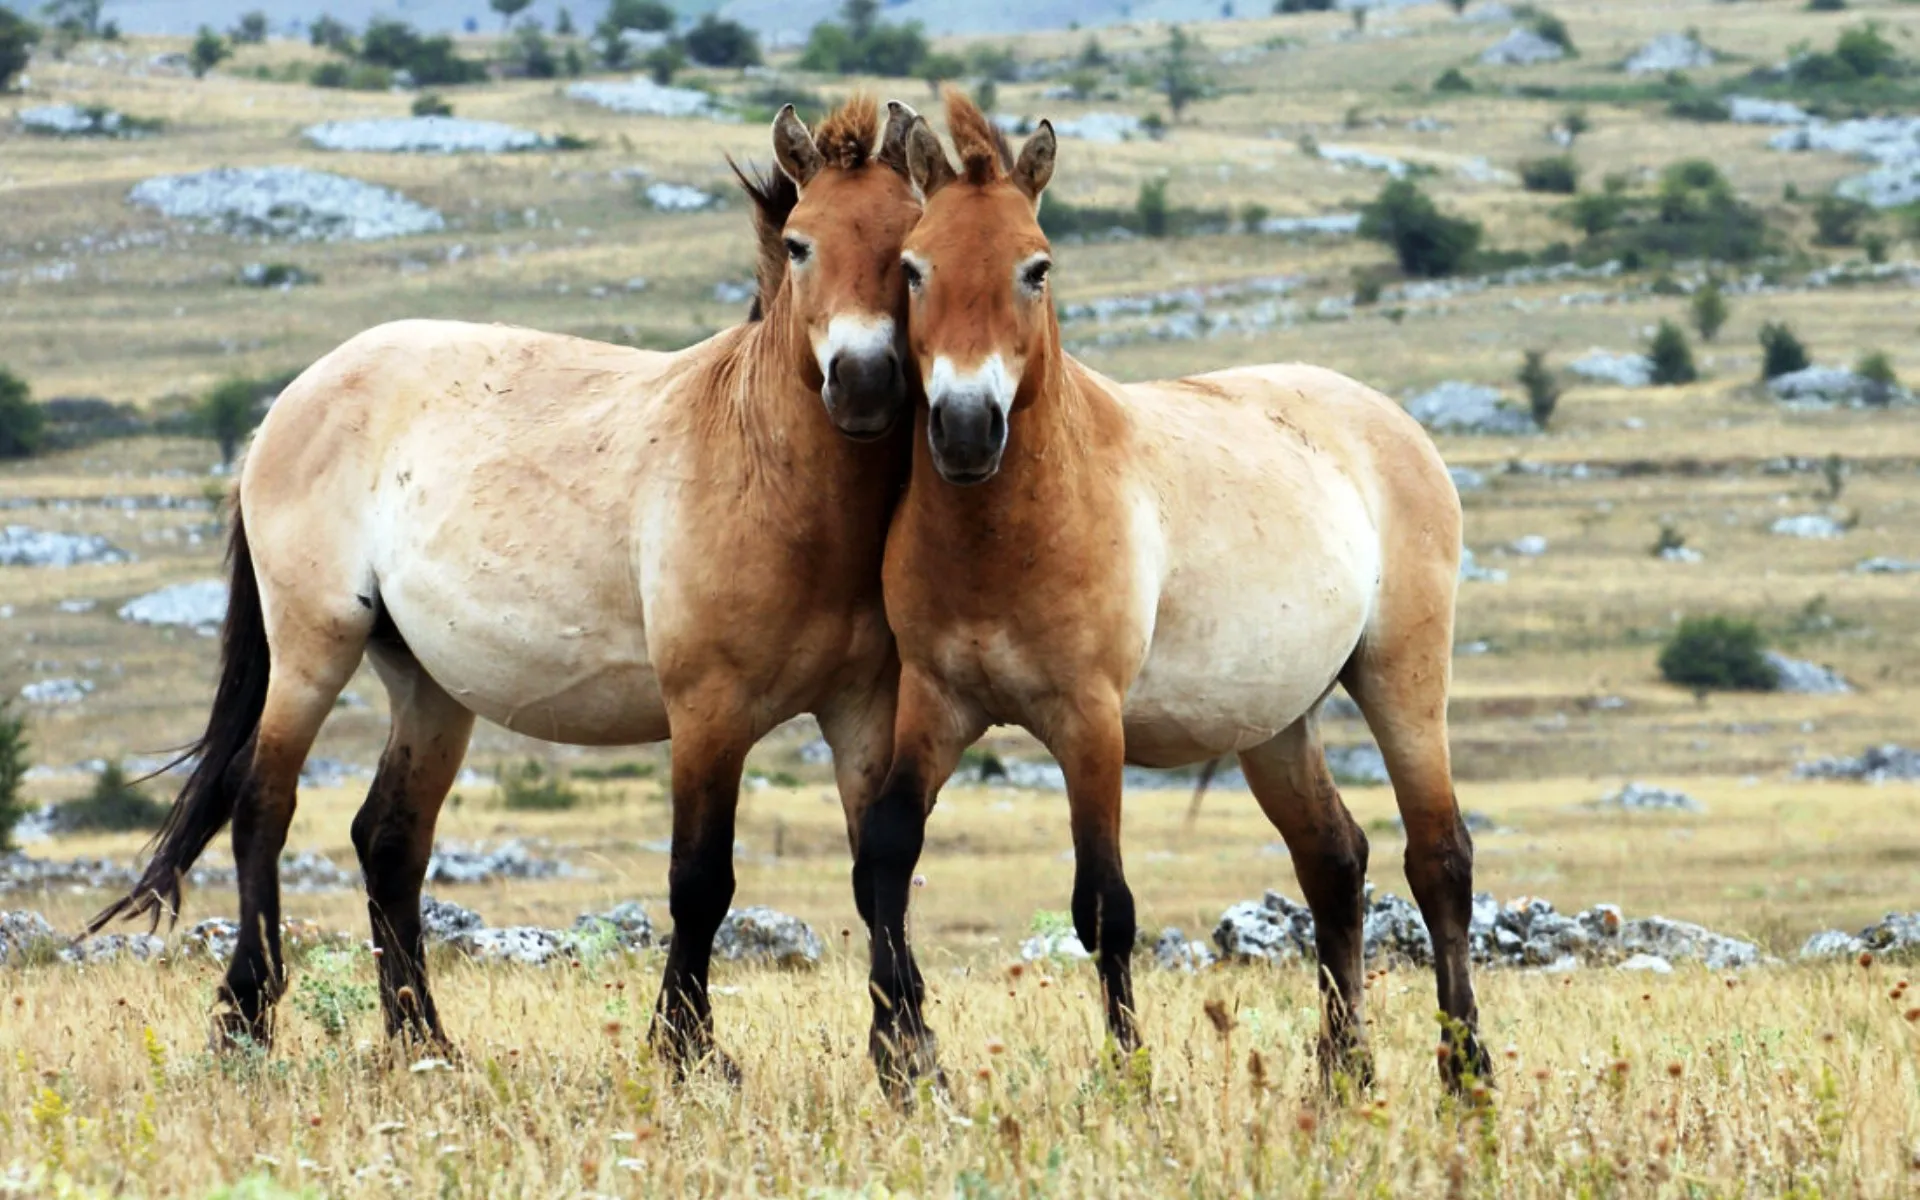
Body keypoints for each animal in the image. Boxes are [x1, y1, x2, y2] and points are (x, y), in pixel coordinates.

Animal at [90, 98, 921, 1075]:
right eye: (798, 244)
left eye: (911, 245)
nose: (862, 383)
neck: (766, 470)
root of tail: (289, 403)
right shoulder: (707, 713)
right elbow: (700, 881)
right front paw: (687, 1051)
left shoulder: (862, 710)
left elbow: (880, 871)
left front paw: (909, 1054)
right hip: (313, 647)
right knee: (264, 804)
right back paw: (245, 1020)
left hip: (428, 684)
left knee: (388, 841)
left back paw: (423, 1037)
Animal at [860, 96, 1497, 1098]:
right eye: (914, 267)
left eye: (1037, 267)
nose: (965, 429)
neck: (1007, 531)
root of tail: (1392, 421)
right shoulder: (937, 702)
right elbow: (887, 851)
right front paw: (902, 1062)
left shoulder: (1089, 722)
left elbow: (1103, 906)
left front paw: (1129, 1075)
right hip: (1276, 722)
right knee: (1334, 859)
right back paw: (1342, 1073)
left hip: (1402, 677)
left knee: (1439, 861)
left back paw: (1466, 1071)